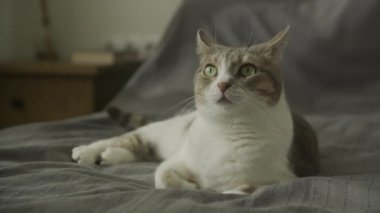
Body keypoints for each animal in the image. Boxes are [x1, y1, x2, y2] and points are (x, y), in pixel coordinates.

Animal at [70, 25, 318, 194]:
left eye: (248, 70)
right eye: (210, 70)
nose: (223, 84)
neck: (228, 130)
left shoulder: (285, 178)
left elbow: (238, 190)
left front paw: (205, 187)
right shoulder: (178, 159)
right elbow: (163, 176)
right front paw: (191, 185)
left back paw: (109, 156)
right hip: (161, 131)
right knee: (132, 139)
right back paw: (89, 151)